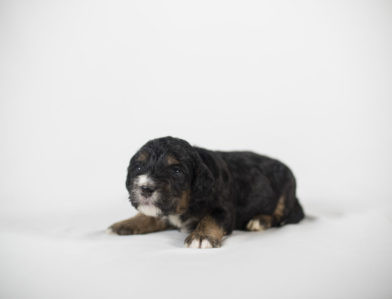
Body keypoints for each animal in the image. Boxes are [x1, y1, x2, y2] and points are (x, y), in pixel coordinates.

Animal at [108, 137, 306, 250]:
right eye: (138, 167)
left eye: (176, 171)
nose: (146, 188)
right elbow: (149, 216)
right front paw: (123, 224)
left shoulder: (225, 209)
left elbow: (210, 217)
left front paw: (201, 237)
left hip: (287, 186)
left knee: (282, 214)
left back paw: (260, 220)